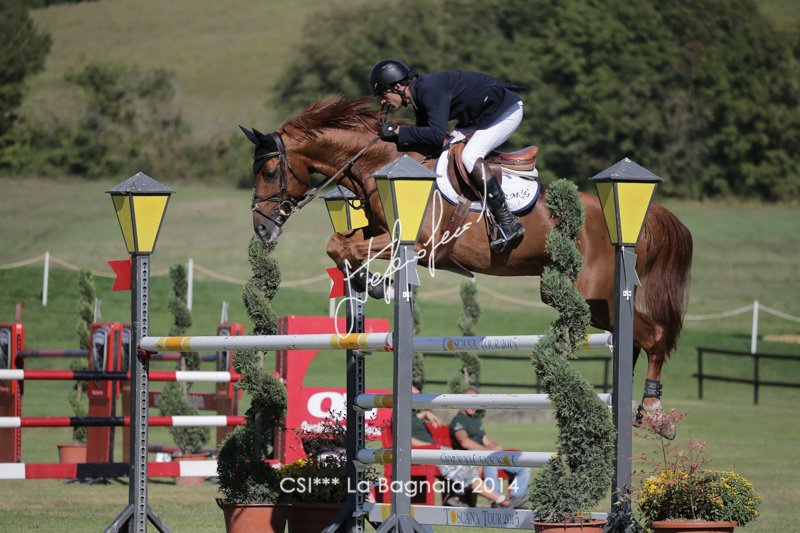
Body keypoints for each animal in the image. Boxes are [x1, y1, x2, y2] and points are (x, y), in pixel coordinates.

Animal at [241, 96, 693, 428]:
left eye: (269, 171)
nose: (262, 229)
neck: (380, 164)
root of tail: (641, 220)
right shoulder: (379, 231)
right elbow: (338, 245)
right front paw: (369, 284)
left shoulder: (421, 243)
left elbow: (349, 249)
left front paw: (379, 284)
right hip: (596, 304)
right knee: (634, 338)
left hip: (597, 294)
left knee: (653, 336)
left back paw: (653, 410)